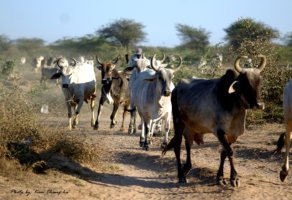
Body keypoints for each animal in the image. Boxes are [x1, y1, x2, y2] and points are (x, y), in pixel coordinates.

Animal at [162, 54, 266, 188]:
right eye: (245, 83)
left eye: (259, 81)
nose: (259, 105)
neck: (232, 102)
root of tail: (176, 88)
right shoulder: (219, 131)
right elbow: (230, 152)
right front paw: (234, 178)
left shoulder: (233, 135)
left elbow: (224, 153)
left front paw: (220, 177)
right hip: (178, 121)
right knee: (177, 146)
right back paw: (181, 175)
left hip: (190, 127)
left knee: (188, 145)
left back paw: (186, 169)